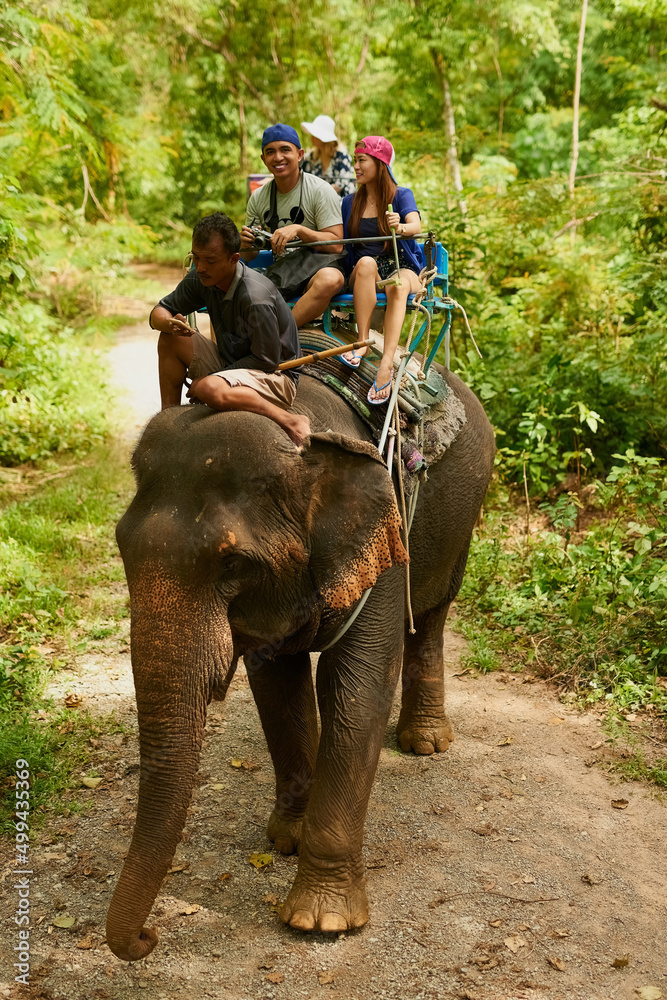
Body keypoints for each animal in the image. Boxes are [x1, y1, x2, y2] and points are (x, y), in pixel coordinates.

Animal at [105, 368, 496, 960]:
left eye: (233, 563)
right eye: (122, 548)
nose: (148, 936)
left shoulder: (383, 540)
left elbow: (358, 686)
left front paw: (321, 921)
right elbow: (276, 685)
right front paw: (287, 838)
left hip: (463, 518)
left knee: (432, 614)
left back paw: (424, 744)